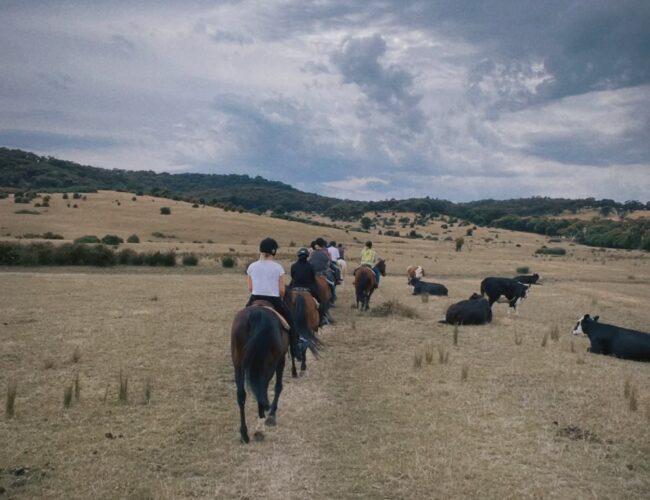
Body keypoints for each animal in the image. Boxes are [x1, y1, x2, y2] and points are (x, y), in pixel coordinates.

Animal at [230, 298, 286, 444]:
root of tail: (257, 313)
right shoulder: (281, 359)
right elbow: (278, 386)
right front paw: (272, 415)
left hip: (238, 364)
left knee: (241, 395)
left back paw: (244, 434)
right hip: (268, 365)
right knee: (262, 390)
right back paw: (260, 429)